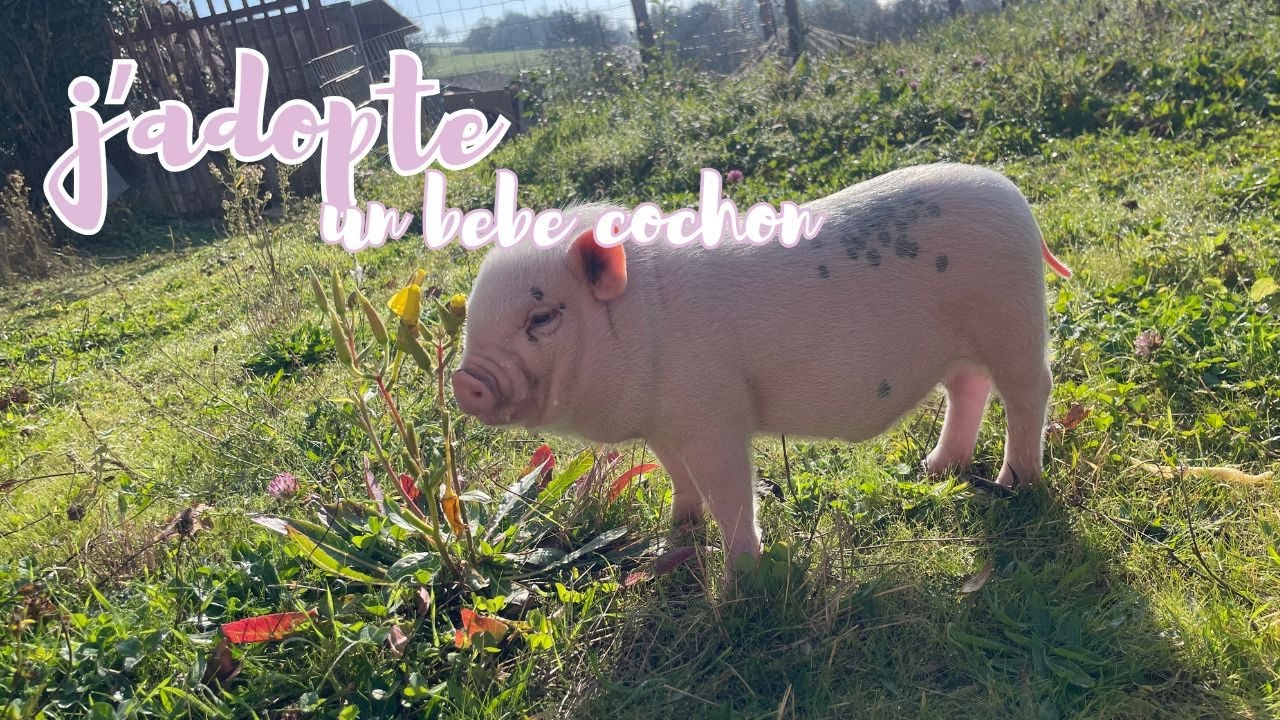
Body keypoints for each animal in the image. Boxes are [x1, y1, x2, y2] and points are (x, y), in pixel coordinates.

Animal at [452, 163, 1072, 569]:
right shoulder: (661, 425)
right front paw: (677, 530)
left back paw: (1015, 484)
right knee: (968, 387)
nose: (464, 381)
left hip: (1014, 318)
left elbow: (729, 488)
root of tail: (1016, 199)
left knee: (1028, 390)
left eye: (542, 316)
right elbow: (678, 476)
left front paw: (742, 578)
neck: (644, 318)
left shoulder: (714, 413)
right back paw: (935, 468)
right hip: (967, 344)